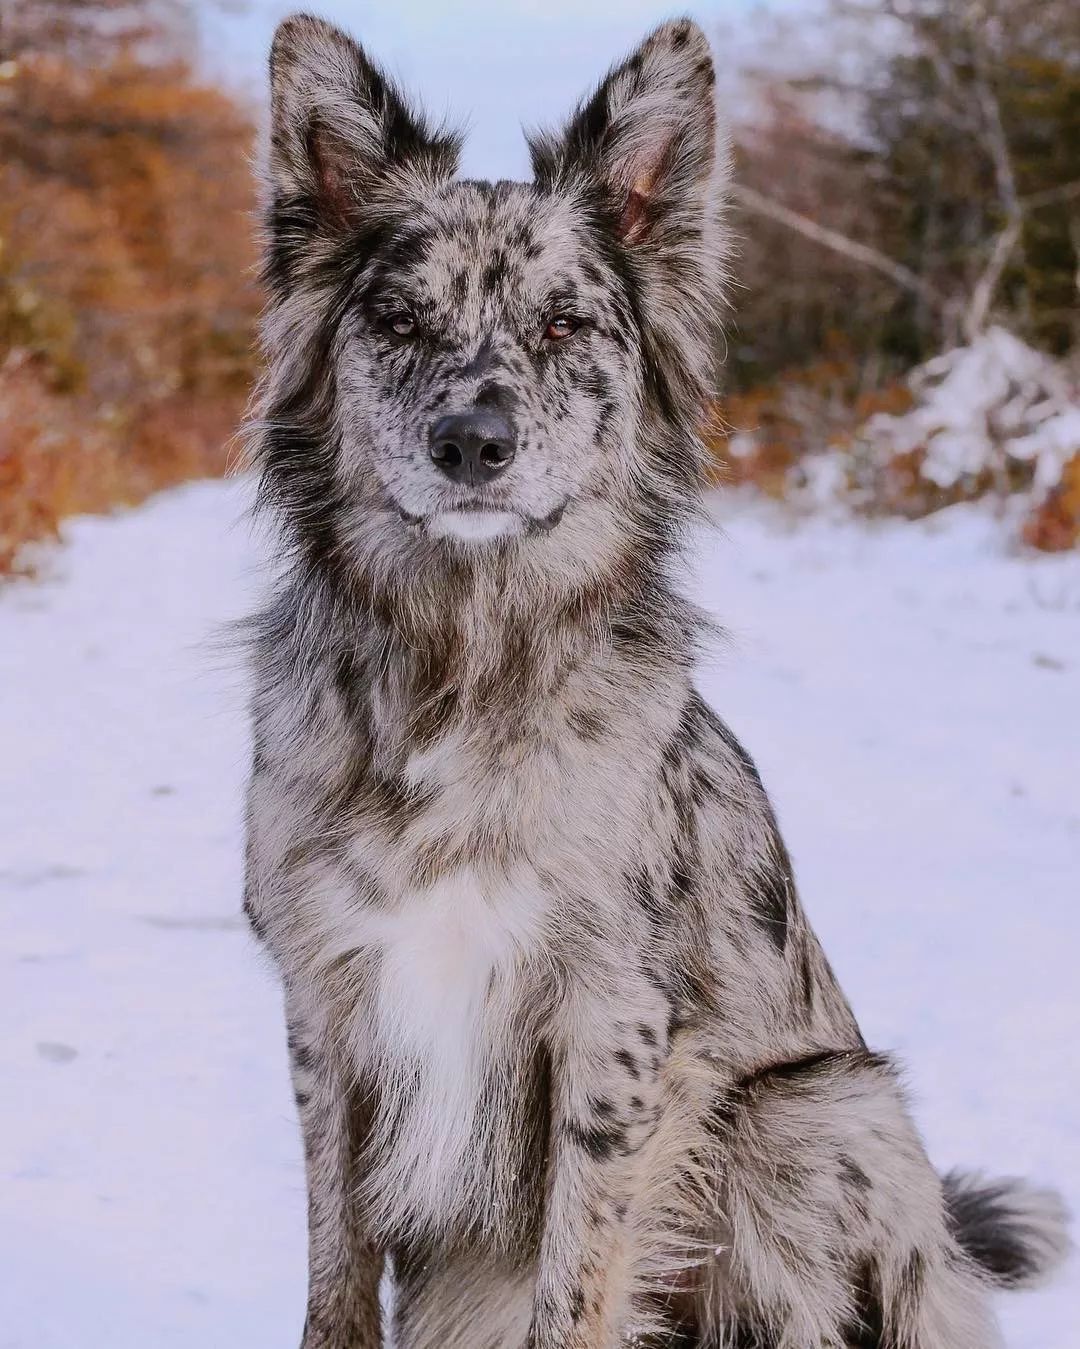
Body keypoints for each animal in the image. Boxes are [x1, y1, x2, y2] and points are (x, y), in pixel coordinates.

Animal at [242, 13, 1062, 1349]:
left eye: (565, 327)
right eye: (399, 320)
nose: (471, 444)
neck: (465, 669)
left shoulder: (616, 1028)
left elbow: (576, 1283)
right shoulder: (328, 1007)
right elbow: (335, 1272)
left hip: (815, 1114)